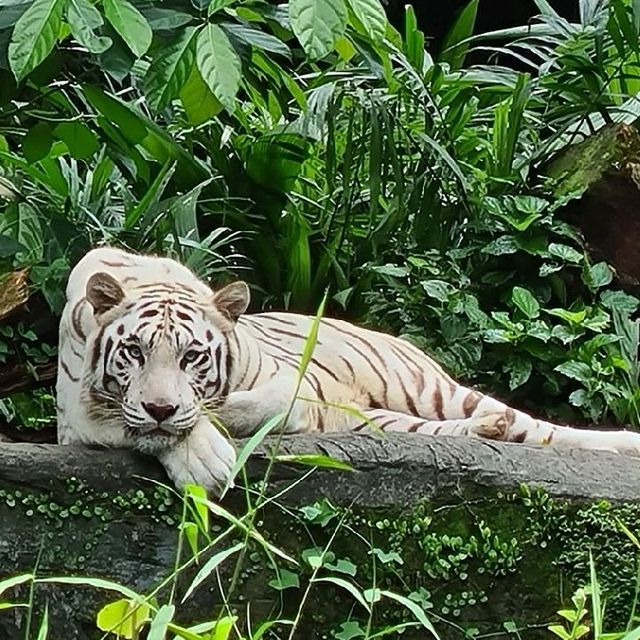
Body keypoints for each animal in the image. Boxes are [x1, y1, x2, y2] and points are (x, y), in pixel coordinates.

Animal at [56, 248, 640, 492]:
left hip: (429, 389)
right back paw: (485, 431)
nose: (161, 406)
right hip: (389, 419)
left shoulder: (302, 380)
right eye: (134, 352)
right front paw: (201, 454)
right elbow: (133, 422)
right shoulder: (74, 417)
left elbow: (262, 402)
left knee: (537, 427)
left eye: (192, 357)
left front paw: (209, 427)